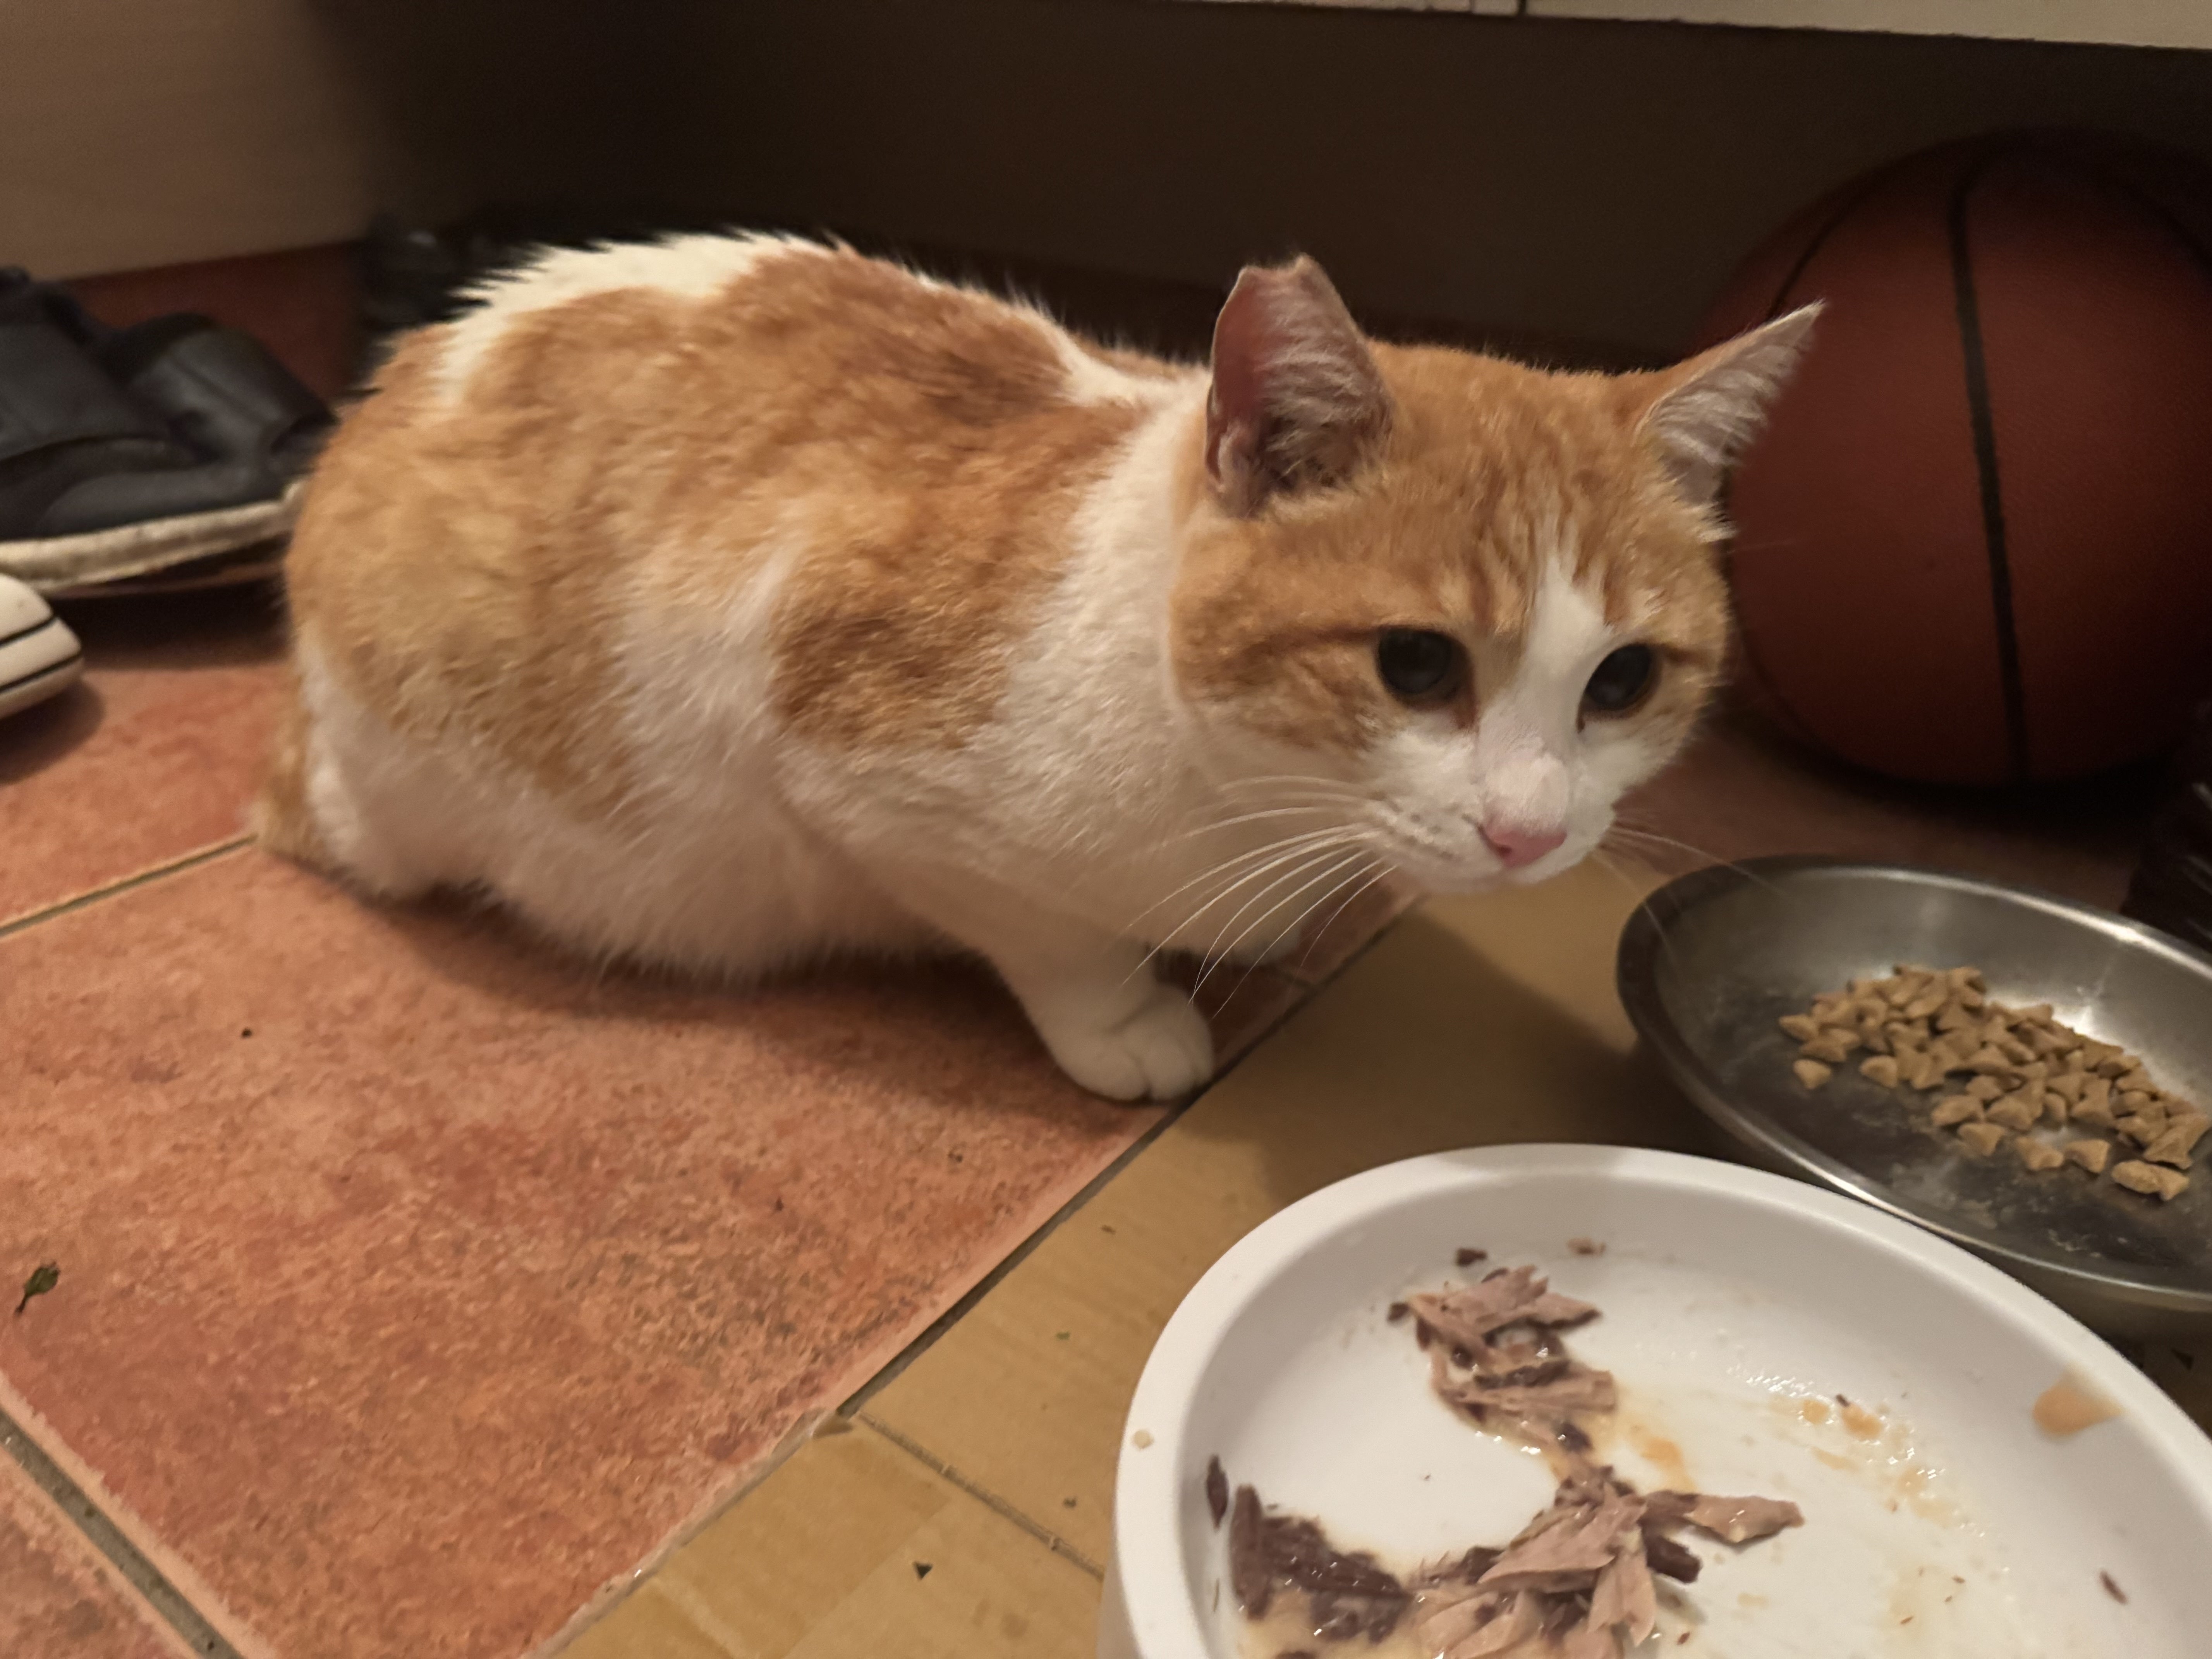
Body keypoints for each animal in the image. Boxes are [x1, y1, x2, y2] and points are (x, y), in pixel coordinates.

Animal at [257, 233, 1814, 1101]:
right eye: (1416, 665)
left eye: (1621, 683)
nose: (1529, 832)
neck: (1258, 806)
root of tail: (402, 366)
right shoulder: (848, 770)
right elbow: (1055, 937)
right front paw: (1126, 1016)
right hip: (406, 801)